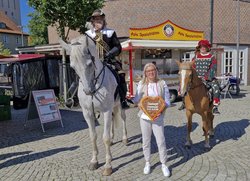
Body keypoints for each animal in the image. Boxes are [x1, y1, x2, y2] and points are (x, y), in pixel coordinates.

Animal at [60, 35, 127, 175]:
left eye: (90, 63)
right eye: (73, 67)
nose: (88, 91)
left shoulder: (106, 110)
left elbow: (105, 138)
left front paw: (108, 166)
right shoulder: (88, 113)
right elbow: (93, 136)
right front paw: (94, 161)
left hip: (120, 104)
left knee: (123, 118)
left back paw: (125, 139)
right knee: (113, 119)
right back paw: (113, 140)